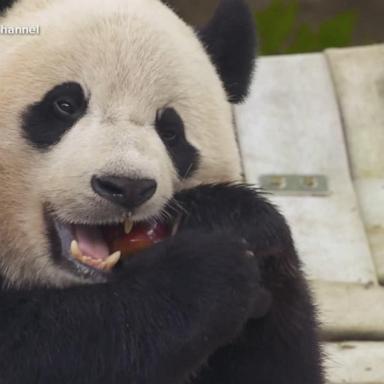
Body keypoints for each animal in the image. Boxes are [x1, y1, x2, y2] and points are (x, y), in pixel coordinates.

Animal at [0, 0, 324, 382]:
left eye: (170, 132)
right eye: (65, 105)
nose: (127, 186)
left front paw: (235, 218)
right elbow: (43, 348)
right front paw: (203, 275)